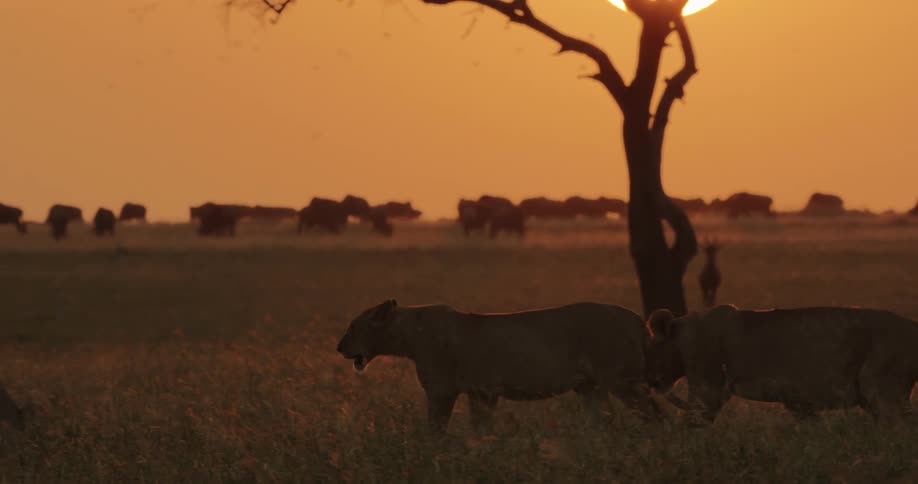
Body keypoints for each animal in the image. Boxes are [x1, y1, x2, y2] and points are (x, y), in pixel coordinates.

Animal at [336, 300, 661, 433]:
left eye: (352, 327)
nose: (339, 347)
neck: (407, 334)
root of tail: (637, 319)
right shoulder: (481, 393)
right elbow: (480, 428)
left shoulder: (443, 392)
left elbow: (436, 428)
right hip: (590, 387)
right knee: (603, 421)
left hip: (623, 381)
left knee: (657, 415)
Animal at [645, 304, 918, 423]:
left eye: (650, 348)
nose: (651, 381)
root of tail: (912, 326)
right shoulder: (800, 403)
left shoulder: (706, 387)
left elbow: (693, 421)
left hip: (881, 388)